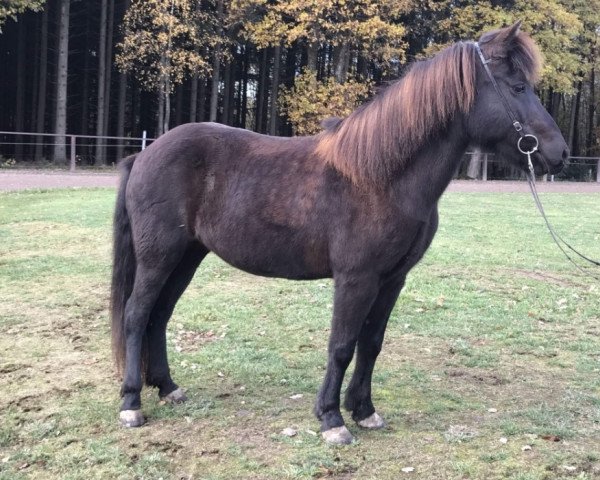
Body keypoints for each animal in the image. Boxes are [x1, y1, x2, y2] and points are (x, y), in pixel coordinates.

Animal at [111, 20, 568, 444]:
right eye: (518, 86)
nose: (559, 153)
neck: (381, 177)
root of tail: (145, 154)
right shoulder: (356, 279)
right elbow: (342, 345)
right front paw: (332, 419)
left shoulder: (392, 280)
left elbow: (371, 344)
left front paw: (364, 410)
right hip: (159, 257)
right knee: (136, 314)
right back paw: (131, 403)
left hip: (187, 257)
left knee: (160, 315)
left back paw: (167, 387)